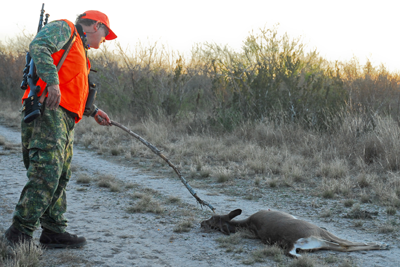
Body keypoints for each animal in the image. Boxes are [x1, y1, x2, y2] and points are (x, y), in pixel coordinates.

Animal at [202, 209, 390, 258]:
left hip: (318, 243)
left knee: (343, 246)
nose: (202, 223)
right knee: (345, 244)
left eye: (212, 218)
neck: (248, 223)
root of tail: (291, 244)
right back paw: (383, 244)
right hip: (317, 232)